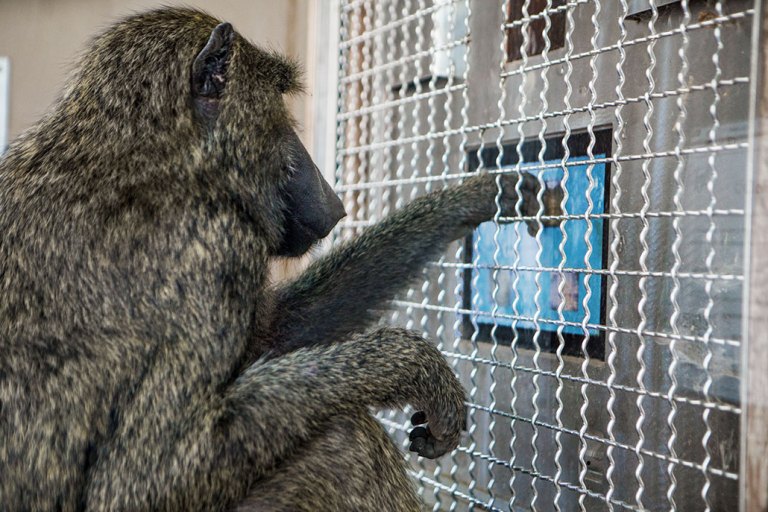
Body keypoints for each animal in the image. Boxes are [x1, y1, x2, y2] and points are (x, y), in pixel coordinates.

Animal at [0, 8, 544, 512]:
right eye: (279, 106)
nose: (334, 201)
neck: (145, 152)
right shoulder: (213, 246)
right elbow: (141, 483)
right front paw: (410, 364)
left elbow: (278, 334)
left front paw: (483, 195)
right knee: (344, 442)